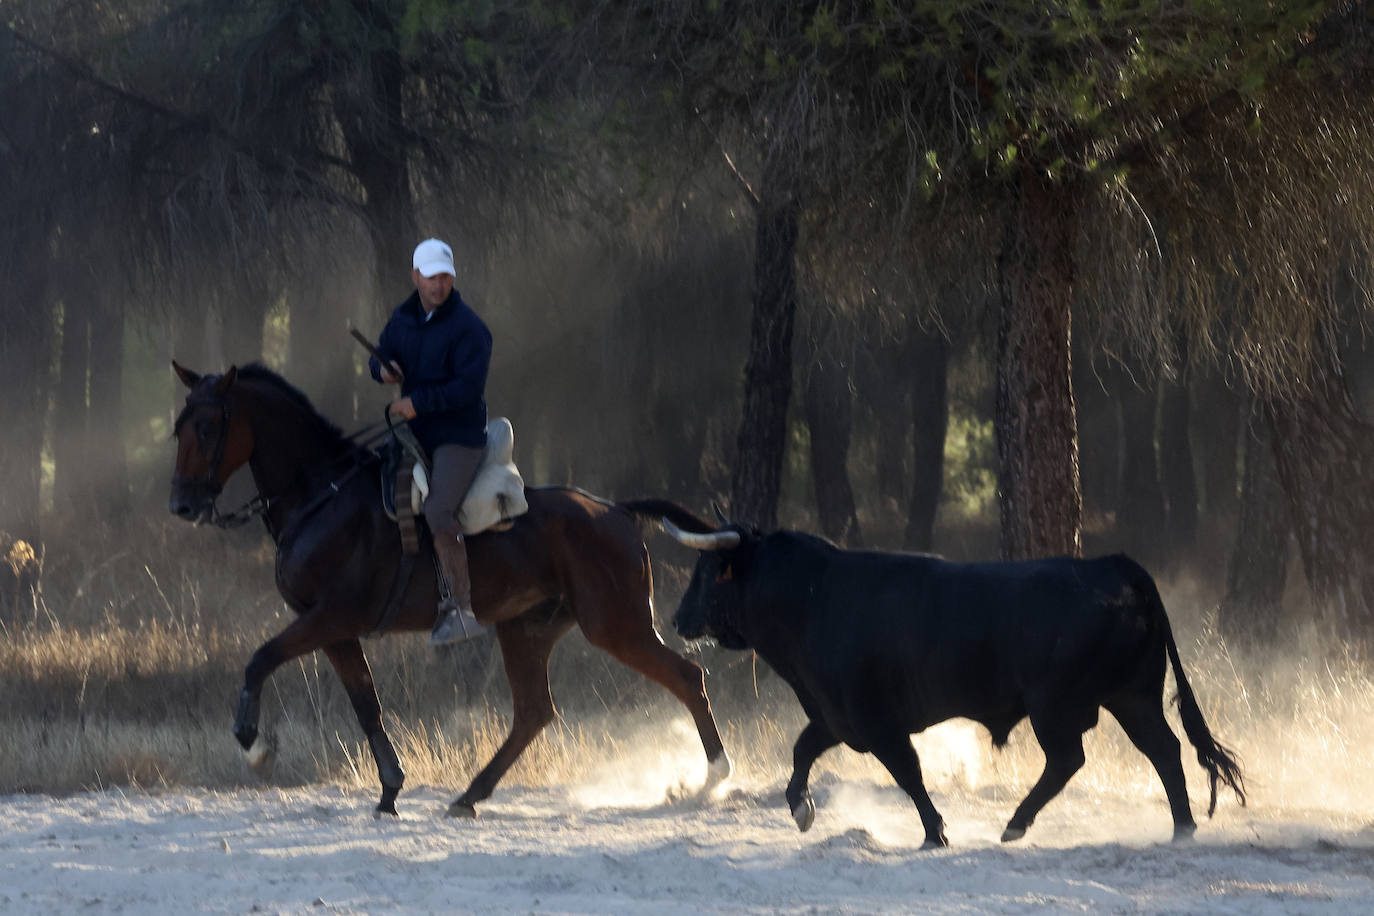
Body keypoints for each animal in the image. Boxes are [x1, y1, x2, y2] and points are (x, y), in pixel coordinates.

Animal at [167, 362, 736, 813]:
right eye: (178, 429)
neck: (322, 494)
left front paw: (254, 746)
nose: (182, 505)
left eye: (210, 426)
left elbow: (261, 659)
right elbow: (366, 703)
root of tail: (615, 511)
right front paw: (390, 790)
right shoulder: (334, 630)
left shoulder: (330, 617)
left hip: (616, 625)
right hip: (526, 629)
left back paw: (713, 777)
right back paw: (470, 795)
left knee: (687, 677)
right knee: (534, 711)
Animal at [629, 502, 1253, 845]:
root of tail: (1115, 566)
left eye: (710, 571)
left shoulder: (876, 721)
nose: (679, 620)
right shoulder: (835, 715)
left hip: (1058, 706)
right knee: (1164, 750)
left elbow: (907, 773)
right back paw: (1181, 828)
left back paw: (1017, 823)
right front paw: (801, 809)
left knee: (1070, 759)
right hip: (1133, 695)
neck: (814, 598)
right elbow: (803, 750)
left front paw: (934, 831)